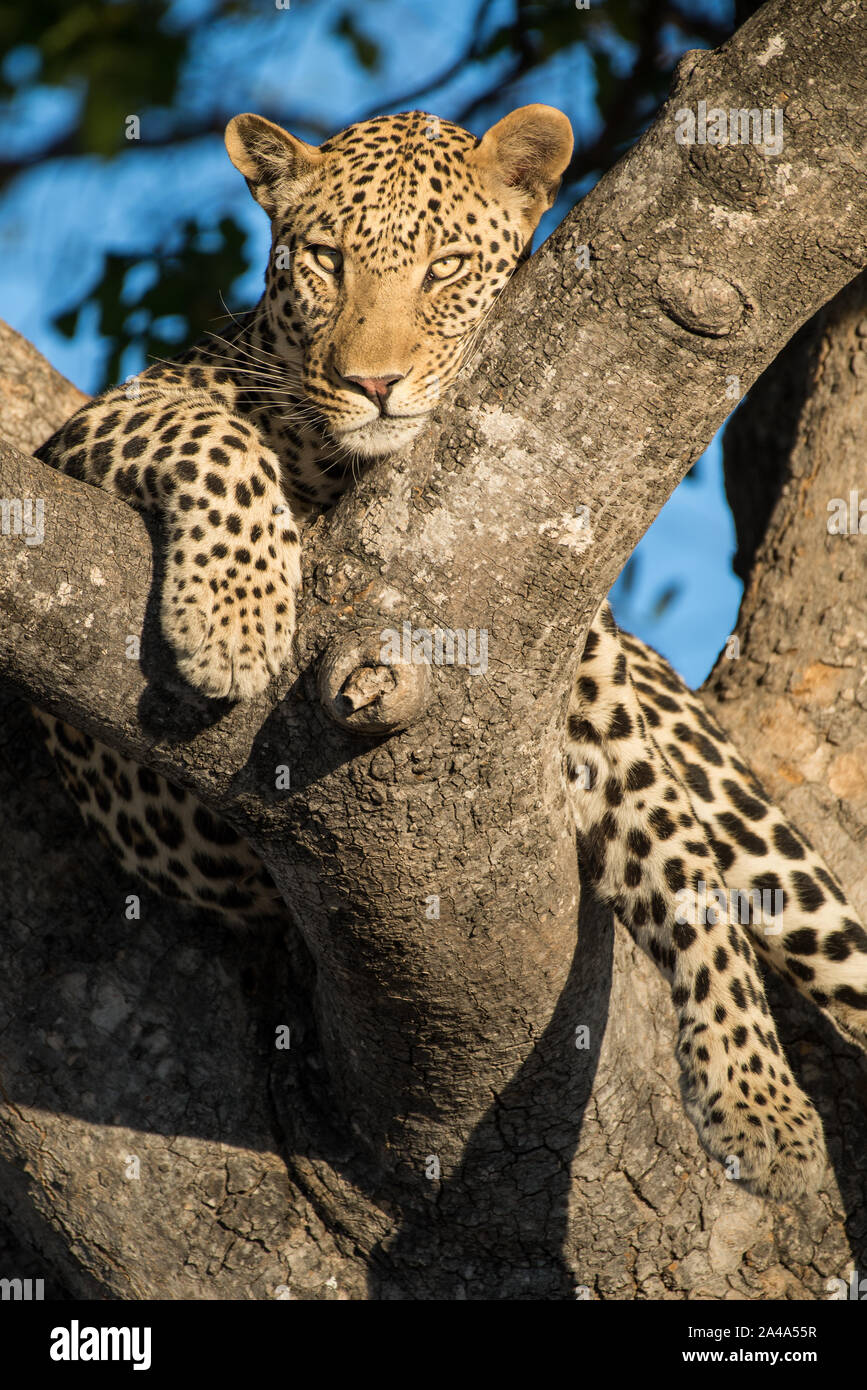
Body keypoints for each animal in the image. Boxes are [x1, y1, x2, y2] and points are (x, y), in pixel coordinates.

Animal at [32, 102, 867, 1200]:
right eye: (327, 261)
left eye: (443, 268)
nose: (373, 382)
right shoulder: (86, 434)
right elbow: (213, 435)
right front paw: (235, 618)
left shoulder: (577, 685)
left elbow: (682, 863)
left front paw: (754, 1096)